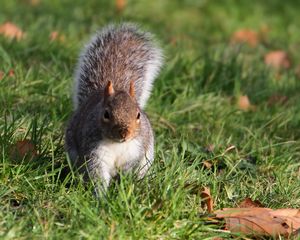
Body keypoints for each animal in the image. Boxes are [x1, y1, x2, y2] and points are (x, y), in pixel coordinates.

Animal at [64, 23, 163, 193]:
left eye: (138, 115)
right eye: (106, 114)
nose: (124, 133)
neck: (118, 144)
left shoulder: (137, 149)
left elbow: (131, 167)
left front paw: (124, 184)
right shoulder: (94, 152)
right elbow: (97, 174)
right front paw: (101, 195)